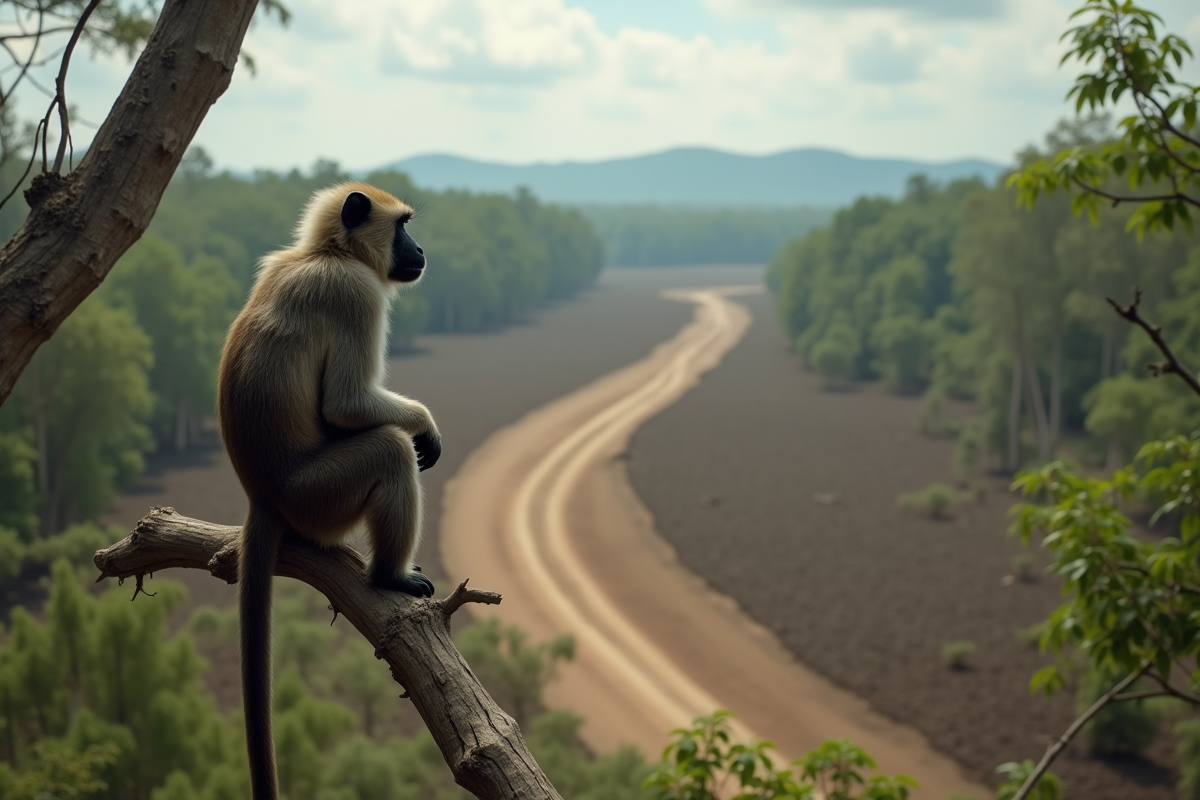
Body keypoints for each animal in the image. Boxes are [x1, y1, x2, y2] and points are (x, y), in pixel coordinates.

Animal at [217, 182, 440, 800]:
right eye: (402, 226)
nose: (420, 250)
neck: (327, 254)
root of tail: (263, 495)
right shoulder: (356, 295)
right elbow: (346, 404)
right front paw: (424, 424)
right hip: (321, 498)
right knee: (388, 449)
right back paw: (388, 575)